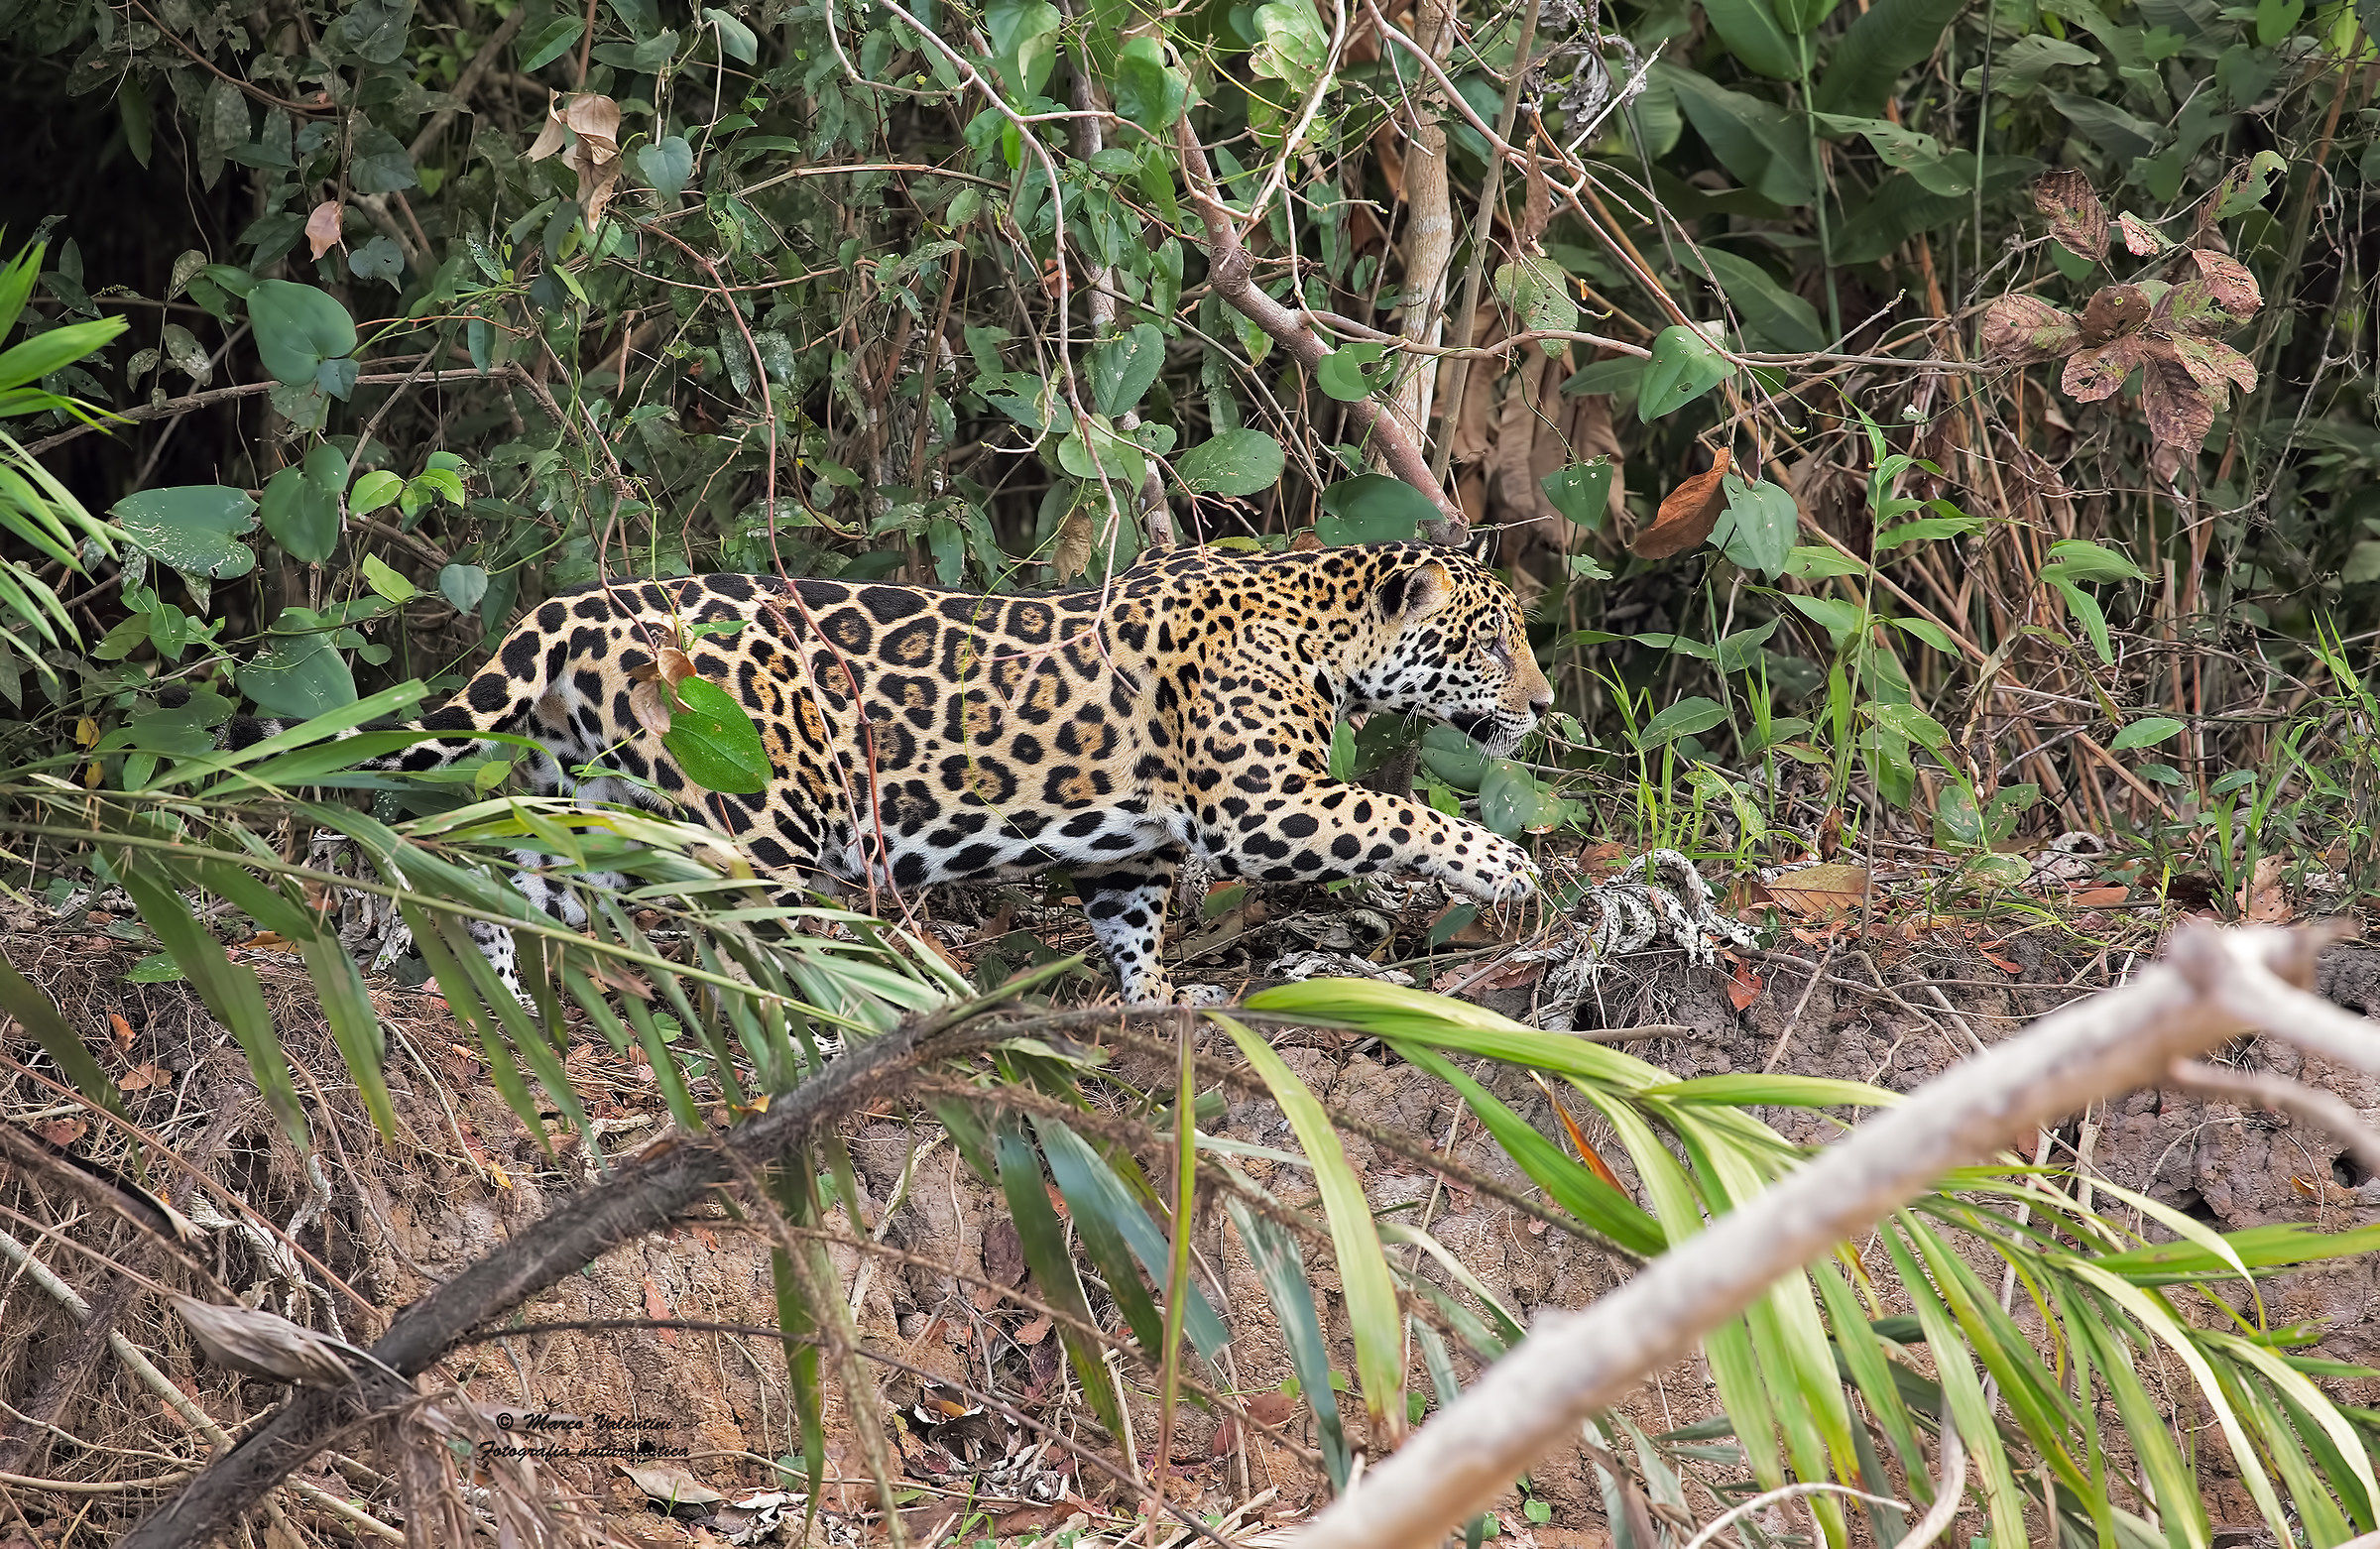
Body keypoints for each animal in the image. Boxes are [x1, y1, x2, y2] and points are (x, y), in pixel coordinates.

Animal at [228, 540, 1553, 1006]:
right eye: (1493, 641)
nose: (1544, 705)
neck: (1322, 623)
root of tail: (577, 607)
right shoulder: (1264, 805)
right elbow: (1393, 806)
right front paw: (1506, 867)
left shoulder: (1130, 841)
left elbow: (1129, 920)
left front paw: (1155, 998)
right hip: (751, 810)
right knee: (730, 927)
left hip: (592, 784)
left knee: (515, 869)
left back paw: (493, 985)